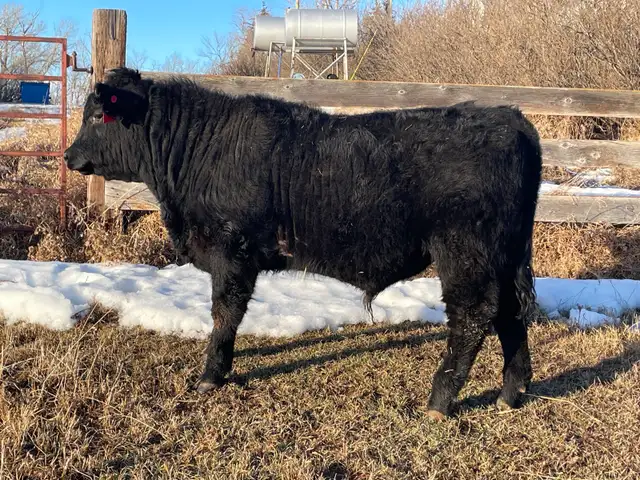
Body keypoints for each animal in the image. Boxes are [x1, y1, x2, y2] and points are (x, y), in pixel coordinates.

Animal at [64, 67, 542, 420]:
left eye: (96, 116)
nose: (68, 156)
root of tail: (509, 117)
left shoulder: (231, 254)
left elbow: (224, 315)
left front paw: (211, 375)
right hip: (504, 255)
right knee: (509, 314)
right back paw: (511, 393)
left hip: (465, 253)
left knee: (474, 316)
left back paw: (438, 401)